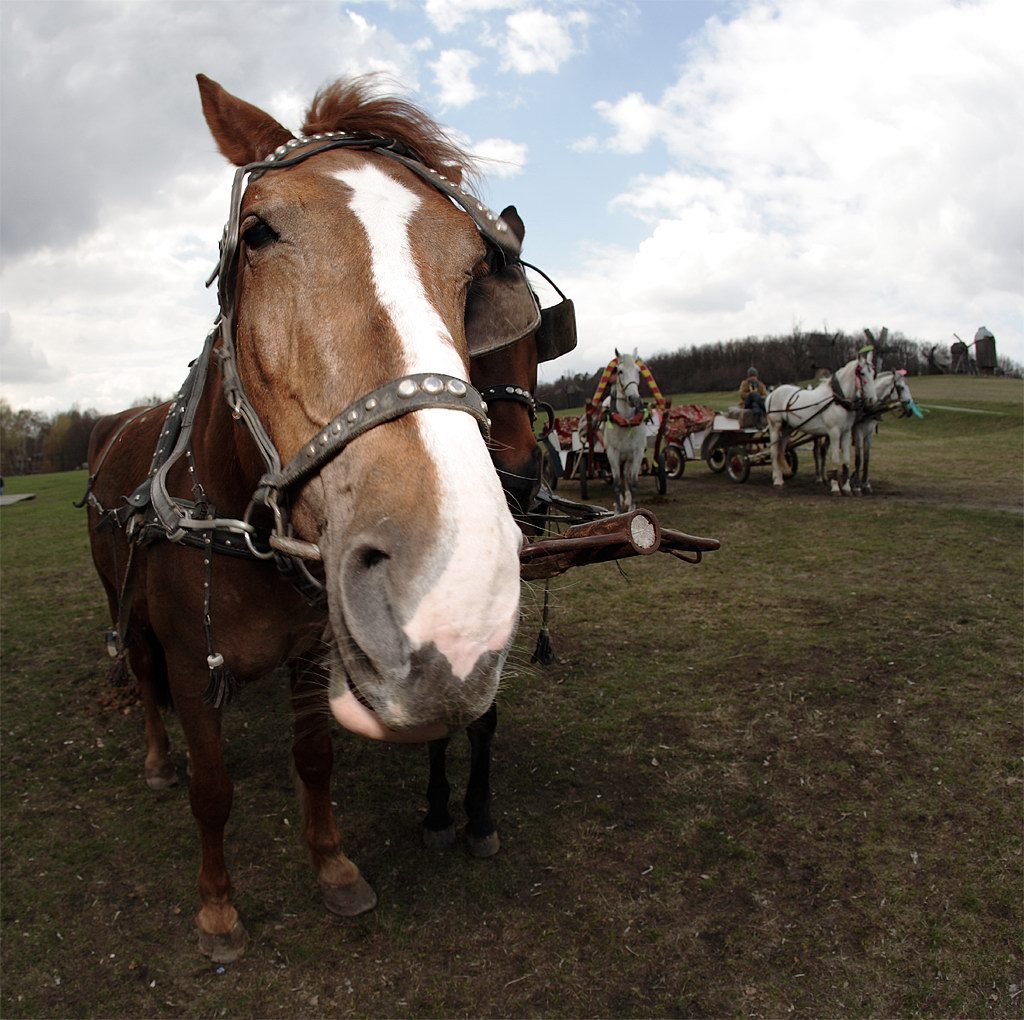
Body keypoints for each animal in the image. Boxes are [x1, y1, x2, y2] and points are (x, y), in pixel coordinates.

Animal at [83, 75, 548, 958]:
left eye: (474, 271)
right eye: (257, 233)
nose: (454, 600)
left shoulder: (307, 652)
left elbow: (314, 759)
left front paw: (333, 870)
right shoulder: (193, 663)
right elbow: (212, 788)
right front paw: (218, 909)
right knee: (145, 677)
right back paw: (156, 756)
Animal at [598, 346, 647, 514]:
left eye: (638, 371)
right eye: (620, 371)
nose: (634, 399)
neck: (626, 421)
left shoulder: (637, 452)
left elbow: (633, 482)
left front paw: (632, 508)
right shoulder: (612, 453)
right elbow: (617, 483)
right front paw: (618, 510)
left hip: (628, 457)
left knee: (626, 474)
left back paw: (627, 499)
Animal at [770, 350, 880, 493]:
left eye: (873, 373)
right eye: (862, 373)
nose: (873, 400)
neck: (837, 400)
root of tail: (773, 393)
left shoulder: (846, 432)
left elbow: (846, 460)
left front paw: (846, 487)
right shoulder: (834, 432)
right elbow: (835, 459)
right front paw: (835, 487)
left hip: (787, 428)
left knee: (781, 450)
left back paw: (781, 477)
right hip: (775, 426)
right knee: (774, 451)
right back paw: (777, 480)